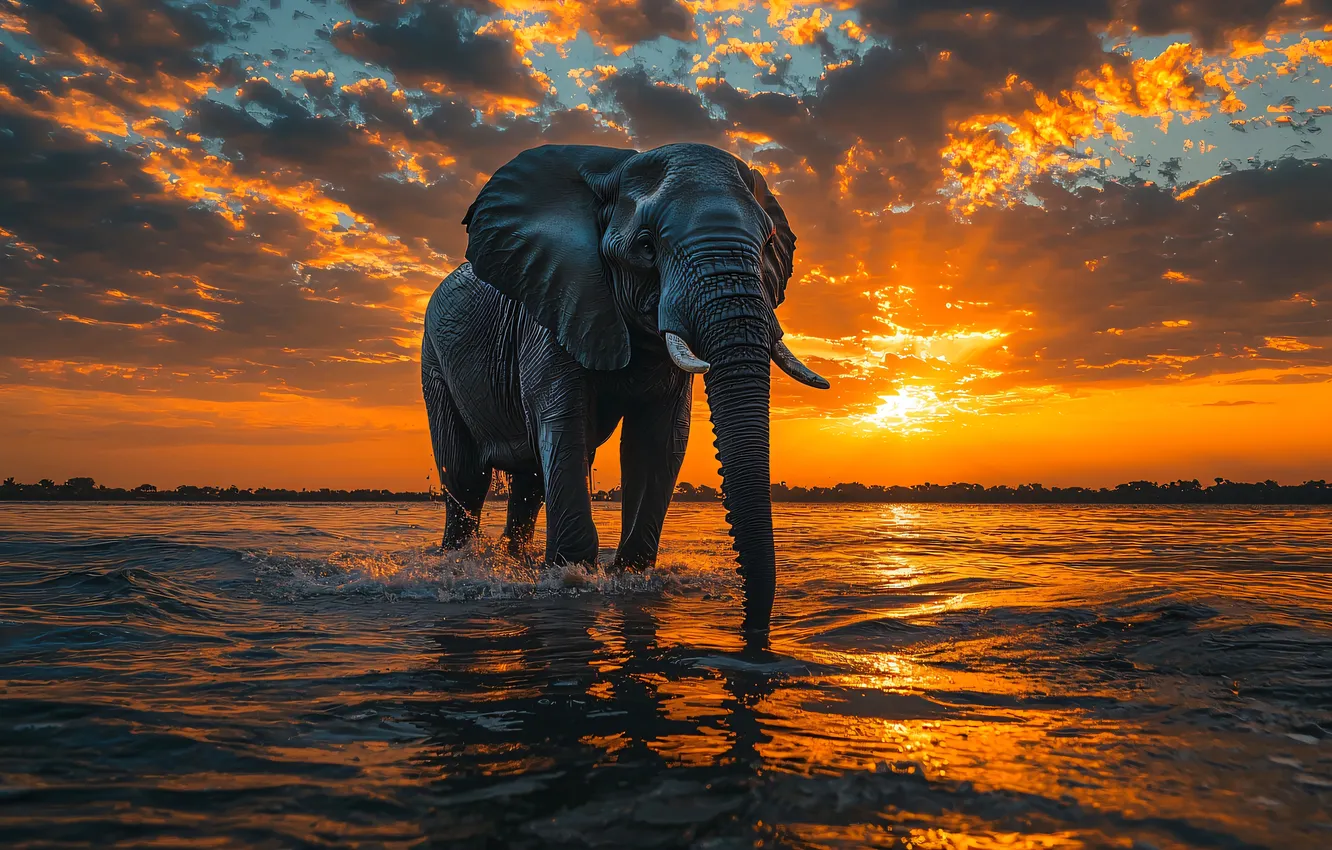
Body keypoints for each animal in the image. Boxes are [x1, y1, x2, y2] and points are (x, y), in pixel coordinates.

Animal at [420, 142, 829, 633]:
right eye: (647, 247)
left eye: (768, 245)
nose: (750, 628)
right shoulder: (557, 305)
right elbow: (566, 425)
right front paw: (571, 577)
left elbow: (659, 440)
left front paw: (629, 577)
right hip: (434, 362)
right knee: (465, 477)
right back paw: (457, 566)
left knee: (529, 481)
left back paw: (513, 566)